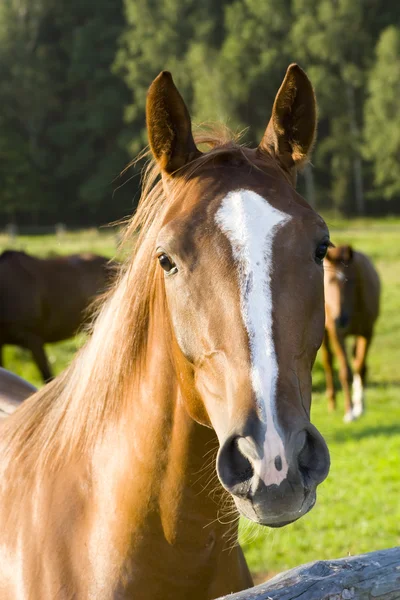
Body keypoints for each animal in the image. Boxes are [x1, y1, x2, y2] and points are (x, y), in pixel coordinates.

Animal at [320, 244, 380, 422]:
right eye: (329, 282)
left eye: (351, 281)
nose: (340, 319)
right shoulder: (337, 334)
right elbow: (345, 371)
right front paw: (349, 411)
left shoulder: (367, 333)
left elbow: (360, 367)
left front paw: (360, 407)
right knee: (328, 362)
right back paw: (332, 403)